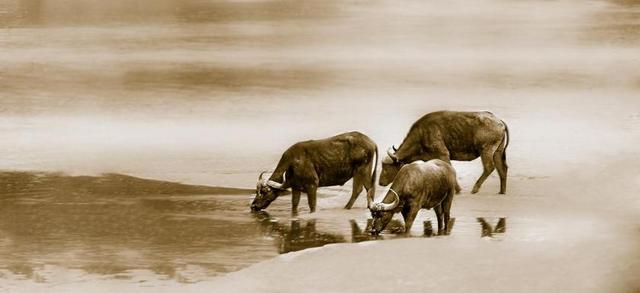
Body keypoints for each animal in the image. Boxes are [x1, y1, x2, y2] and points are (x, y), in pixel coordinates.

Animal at [250, 132, 378, 212]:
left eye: (264, 191)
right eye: (256, 191)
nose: (253, 206)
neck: (293, 163)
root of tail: (371, 142)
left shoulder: (312, 185)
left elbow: (312, 206)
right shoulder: (296, 188)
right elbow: (294, 205)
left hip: (363, 170)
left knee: (367, 188)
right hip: (358, 172)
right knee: (360, 189)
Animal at [380, 109, 510, 194]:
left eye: (387, 167)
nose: (380, 182)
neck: (422, 134)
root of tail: (499, 121)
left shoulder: (443, 154)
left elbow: (450, 169)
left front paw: (457, 190)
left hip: (486, 151)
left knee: (489, 167)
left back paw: (475, 189)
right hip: (497, 152)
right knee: (502, 168)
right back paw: (502, 191)